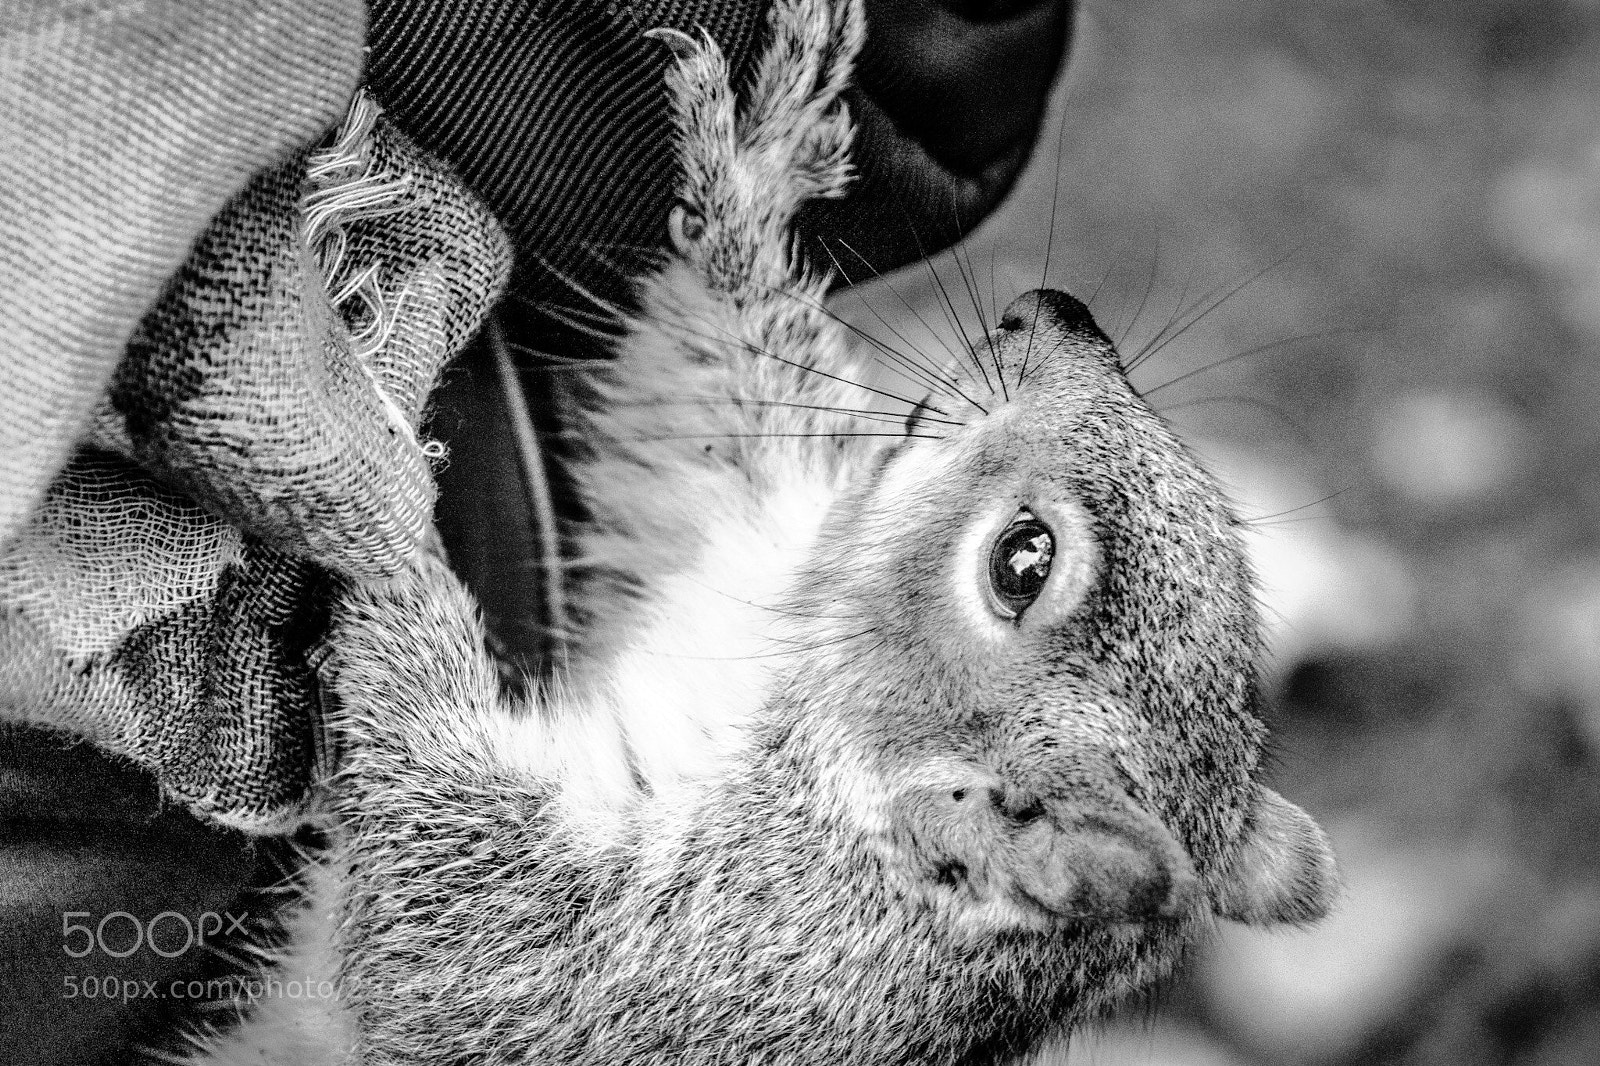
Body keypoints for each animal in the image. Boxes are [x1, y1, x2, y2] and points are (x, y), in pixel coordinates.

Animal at [193, 0, 1340, 1062]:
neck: (780, 693)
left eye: (1024, 560)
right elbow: (712, 393)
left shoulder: (603, 957)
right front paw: (758, 164)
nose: (1056, 312)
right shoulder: (735, 542)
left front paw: (392, 536)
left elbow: (429, 896)